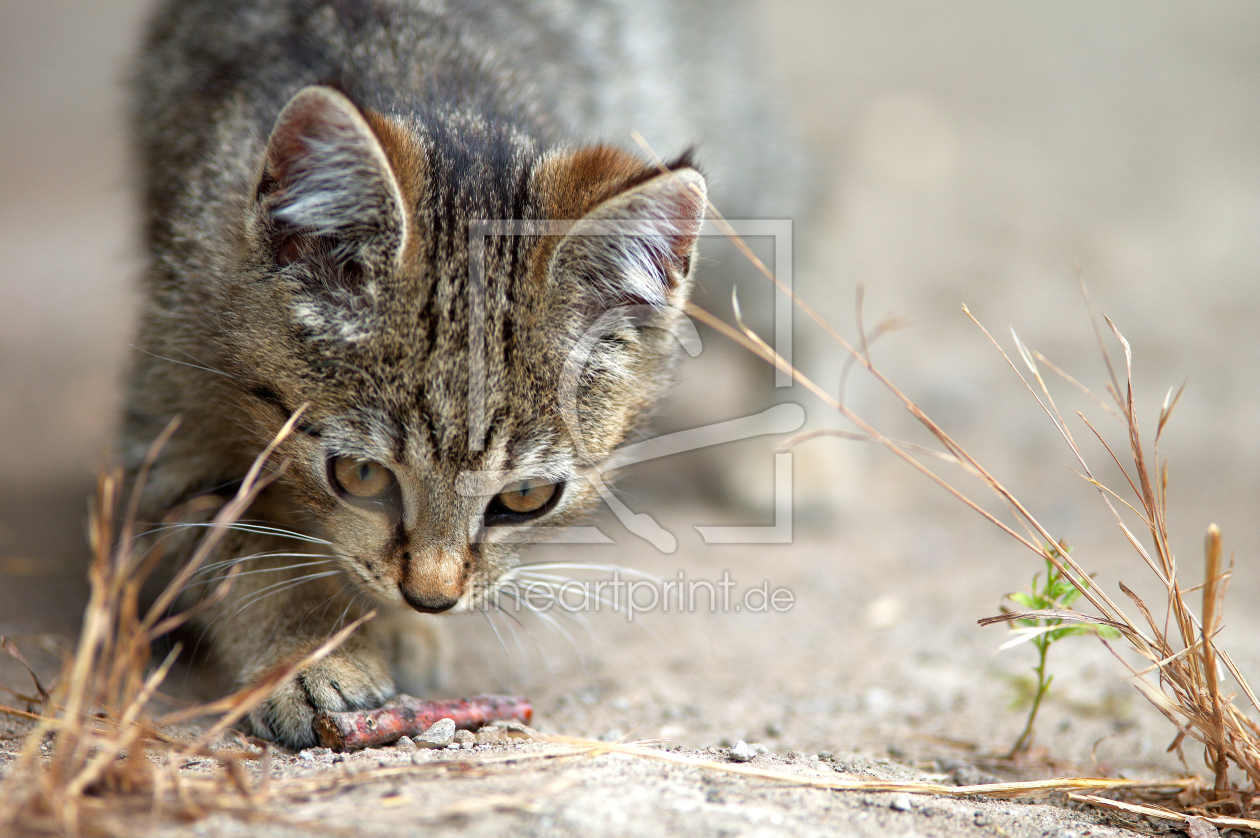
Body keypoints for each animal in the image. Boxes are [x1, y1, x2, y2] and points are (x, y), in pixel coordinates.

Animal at [120, 0, 786, 746]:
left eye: (526, 497)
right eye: (360, 474)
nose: (431, 597)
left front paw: (388, 628)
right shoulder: (169, 410)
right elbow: (241, 548)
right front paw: (310, 652)